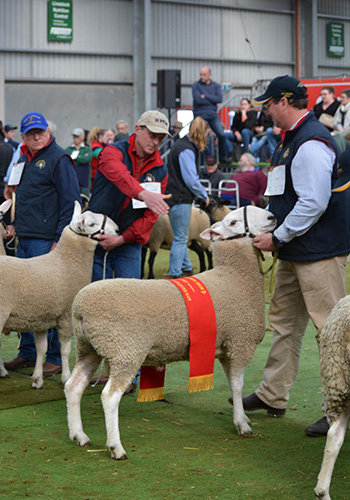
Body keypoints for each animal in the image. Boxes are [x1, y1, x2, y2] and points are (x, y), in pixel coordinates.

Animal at [0, 201, 119, 384]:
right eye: (91, 224)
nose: (118, 230)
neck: (67, 261)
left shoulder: (40, 319)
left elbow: (41, 348)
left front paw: (37, 379)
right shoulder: (66, 316)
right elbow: (65, 350)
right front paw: (66, 377)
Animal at [65, 206, 276, 460]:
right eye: (233, 222)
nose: (272, 217)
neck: (236, 276)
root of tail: (80, 307)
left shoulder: (226, 347)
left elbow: (234, 384)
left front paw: (242, 417)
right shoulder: (240, 343)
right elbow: (237, 385)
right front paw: (241, 424)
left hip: (89, 348)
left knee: (73, 387)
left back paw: (79, 435)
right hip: (126, 351)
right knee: (109, 396)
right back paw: (116, 447)